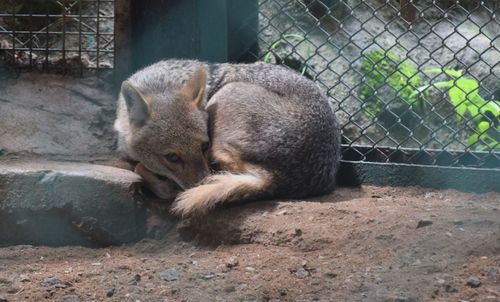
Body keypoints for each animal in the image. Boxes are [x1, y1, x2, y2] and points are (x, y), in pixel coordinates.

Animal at [114, 59, 342, 215]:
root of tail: (279, 180)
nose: (200, 183)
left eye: (203, 146)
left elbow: (141, 168)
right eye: (172, 157)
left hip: (224, 95)